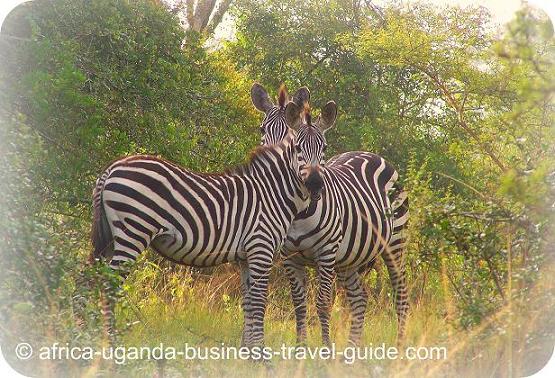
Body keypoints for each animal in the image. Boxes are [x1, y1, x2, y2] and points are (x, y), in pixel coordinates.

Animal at [89, 87, 328, 346]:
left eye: (323, 148)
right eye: (298, 149)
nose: (315, 184)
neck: (272, 190)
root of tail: (111, 168)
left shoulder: (245, 255)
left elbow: (248, 302)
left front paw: (248, 351)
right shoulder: (260, 248)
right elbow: (259, 303)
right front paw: (261, 352)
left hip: (111, 238)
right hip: (133, 231)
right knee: (110, 285)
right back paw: (112, 345)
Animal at [251, 82, 408, 346]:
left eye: (323, 147)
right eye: (263, 129)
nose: (315, 184)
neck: (298, 214)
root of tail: (369, 153)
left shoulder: (326, 254)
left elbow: (323, 304)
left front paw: (325, 350)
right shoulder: (290, 257)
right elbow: (299, 305)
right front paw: (300, 349)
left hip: (395, 242)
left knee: (401, 296)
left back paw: (400, 349)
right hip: (350, 258)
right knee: (359, 300)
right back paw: (351, 351)